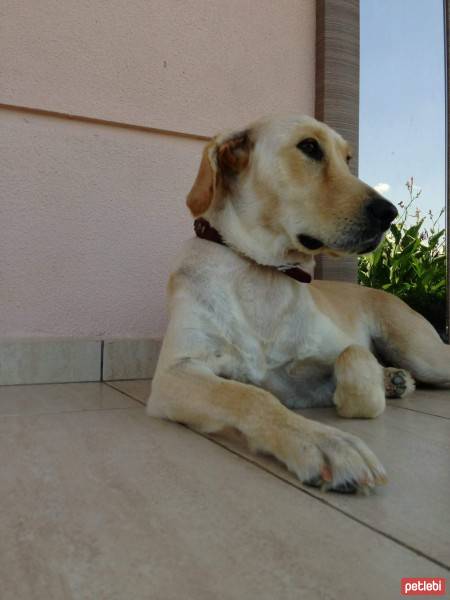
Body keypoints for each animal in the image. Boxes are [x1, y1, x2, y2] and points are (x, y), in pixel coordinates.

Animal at [147, 115, 446, 494]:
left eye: (347, 159)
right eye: (309, 147)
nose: (389, 213)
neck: (262, 270)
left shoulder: (331, 352)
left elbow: (353, 355)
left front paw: (362, 393)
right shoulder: (175, 373)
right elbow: (251, 395)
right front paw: (322, 442)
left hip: (425, 355)